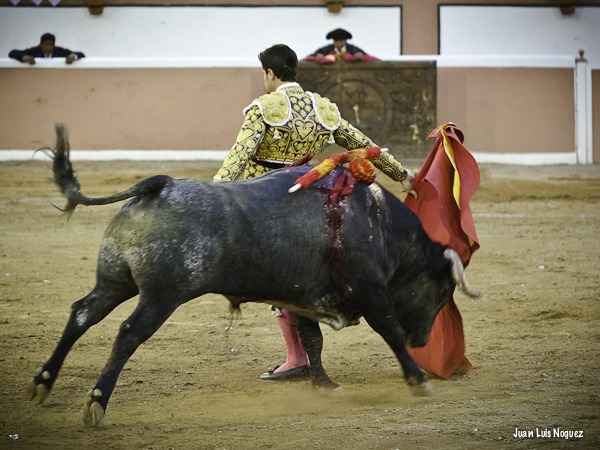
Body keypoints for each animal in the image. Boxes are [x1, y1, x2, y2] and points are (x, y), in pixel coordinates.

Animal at [28, 126, 480, 426]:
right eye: (442, 292)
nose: (423, 340)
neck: (378, 222)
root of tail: (161, 185)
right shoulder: (370, 290)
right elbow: (389, 332)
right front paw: (418, 379)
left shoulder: (304, 295)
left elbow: (312, 340)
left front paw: (323, 384)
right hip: (161, 296)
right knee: (126, 334)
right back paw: (96, 402)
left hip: (114, 281)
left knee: (82, 314)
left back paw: (43, 383)